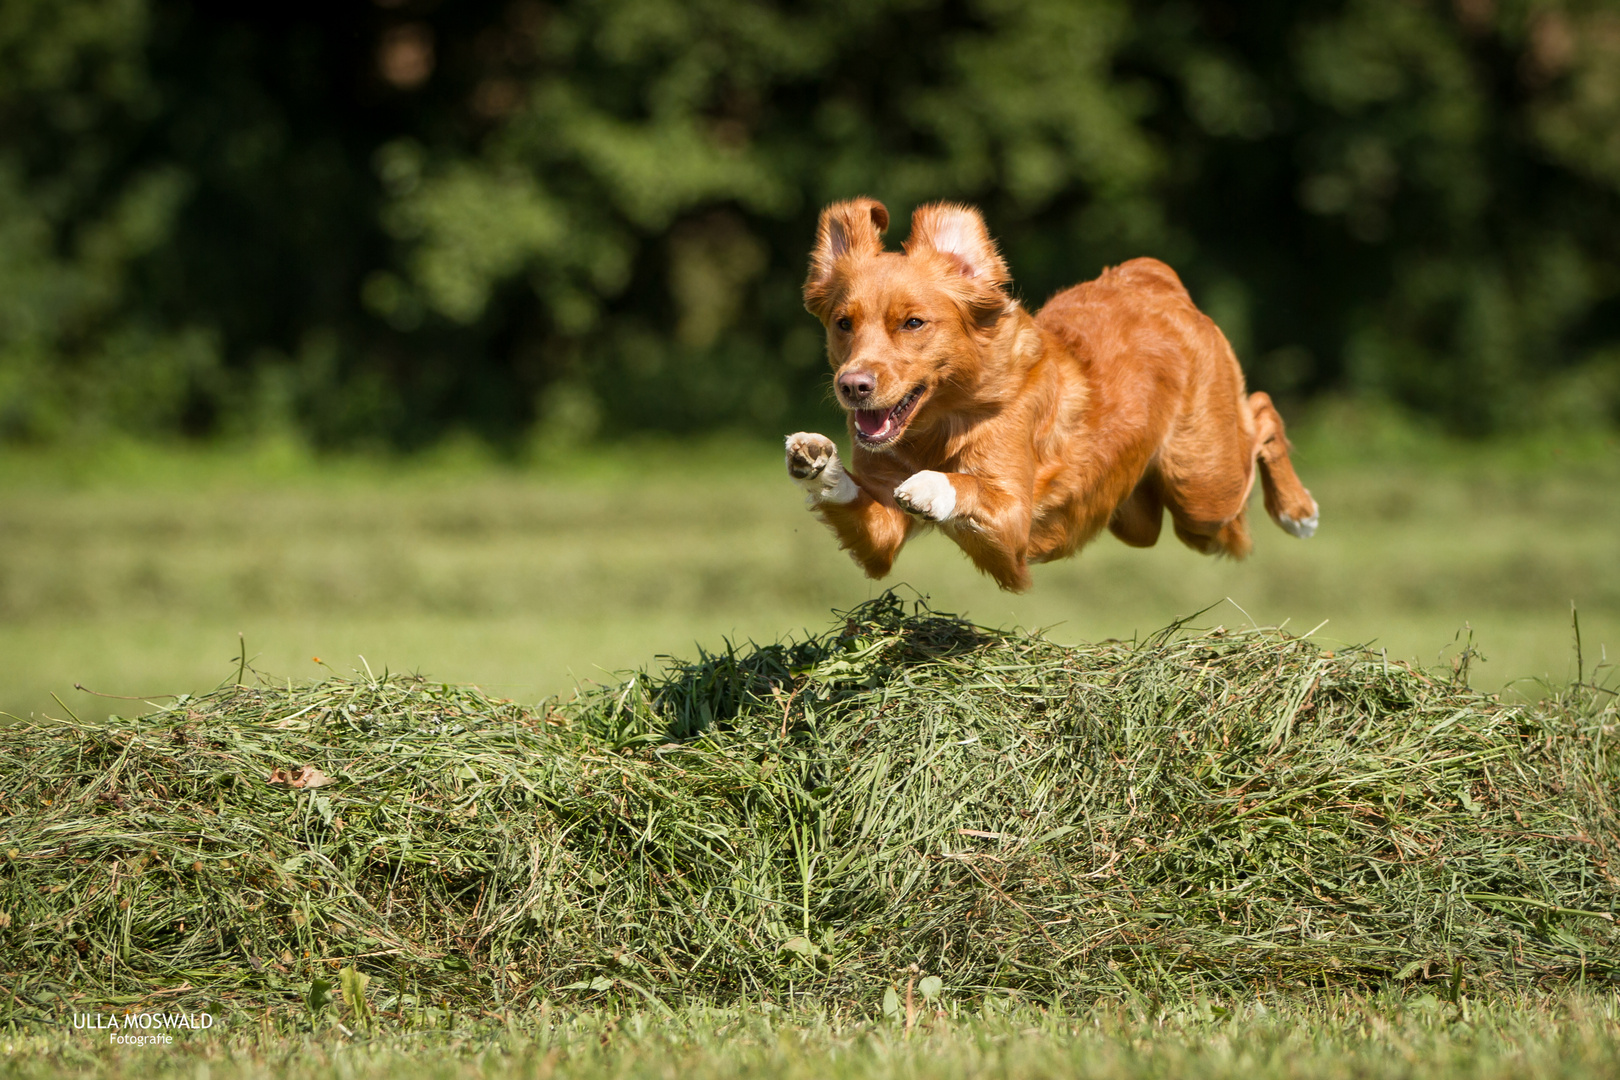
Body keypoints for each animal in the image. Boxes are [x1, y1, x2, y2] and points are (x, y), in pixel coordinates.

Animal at [784, 198, 1315, 595]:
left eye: (913, 323)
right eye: (843, 323)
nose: (853, 386)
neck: (935, 426)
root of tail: (1148, 277)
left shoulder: (1012, 526)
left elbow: (969, 484)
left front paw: (930, 486)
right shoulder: (882, 537)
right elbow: (861, 509)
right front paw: (815, 459)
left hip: (1204, 489)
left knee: (1262, 413)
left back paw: (1298, 511)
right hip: (1139, 515)